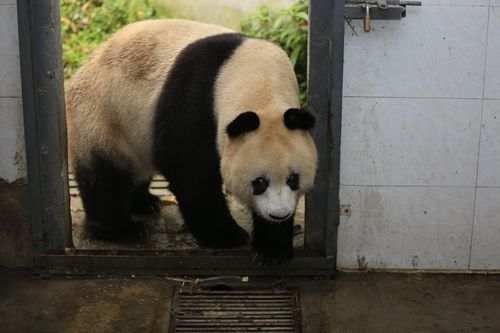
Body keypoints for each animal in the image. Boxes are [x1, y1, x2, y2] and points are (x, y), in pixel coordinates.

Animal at [65, 18, 316, 262]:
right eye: (259, 182)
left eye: (294, 180)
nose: (278, 214)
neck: (260, 86)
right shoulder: (195, 101)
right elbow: (189, 169)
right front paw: (227, 235)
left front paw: (273, 247)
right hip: (103, 117)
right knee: (105, 177)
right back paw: (119, 229)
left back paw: (145, 202)